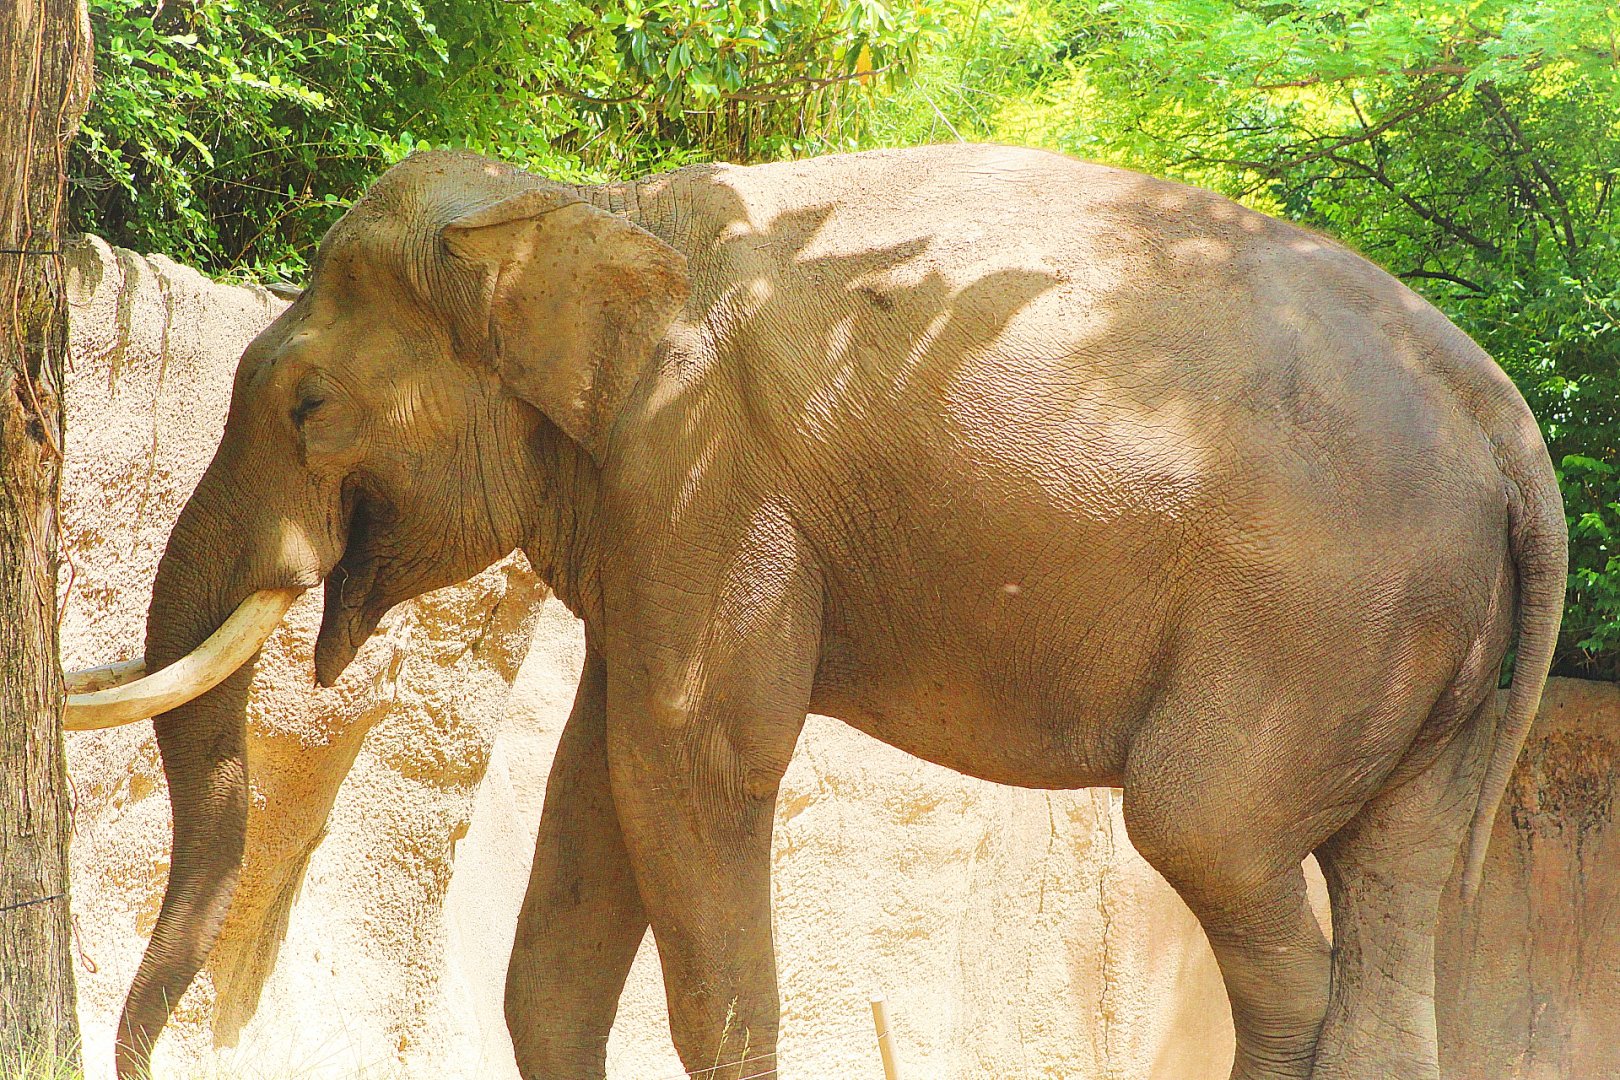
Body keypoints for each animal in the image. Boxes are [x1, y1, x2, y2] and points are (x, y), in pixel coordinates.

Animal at [71, 143, 1565, 1080]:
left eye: (308, 408)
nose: (136, 1063)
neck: (587, 206)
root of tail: (1511, 426)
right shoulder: (648, 513)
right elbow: (597, 792)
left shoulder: (705, 472)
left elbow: (690, 762)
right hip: (1428, 655)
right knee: (1395, 890)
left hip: (1314, 622)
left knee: (1215, 843)